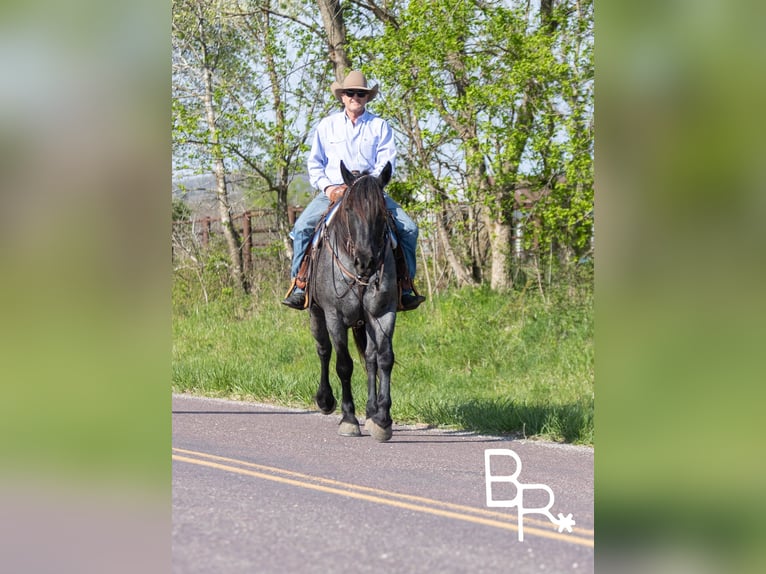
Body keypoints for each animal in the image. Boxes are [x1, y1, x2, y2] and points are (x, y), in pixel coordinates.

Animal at [308, 160, 398, 442]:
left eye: (382, 212)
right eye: (348, 209)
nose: (366, 261)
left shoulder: (383, 312)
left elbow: (384, 359)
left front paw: (382, 419)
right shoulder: (334, 316)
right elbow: (344, 365)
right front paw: (348, 419)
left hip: (364, 321)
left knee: (369, 358)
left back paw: (370, 411)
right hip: (315, 313)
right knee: (324, 350)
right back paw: (325, 400)